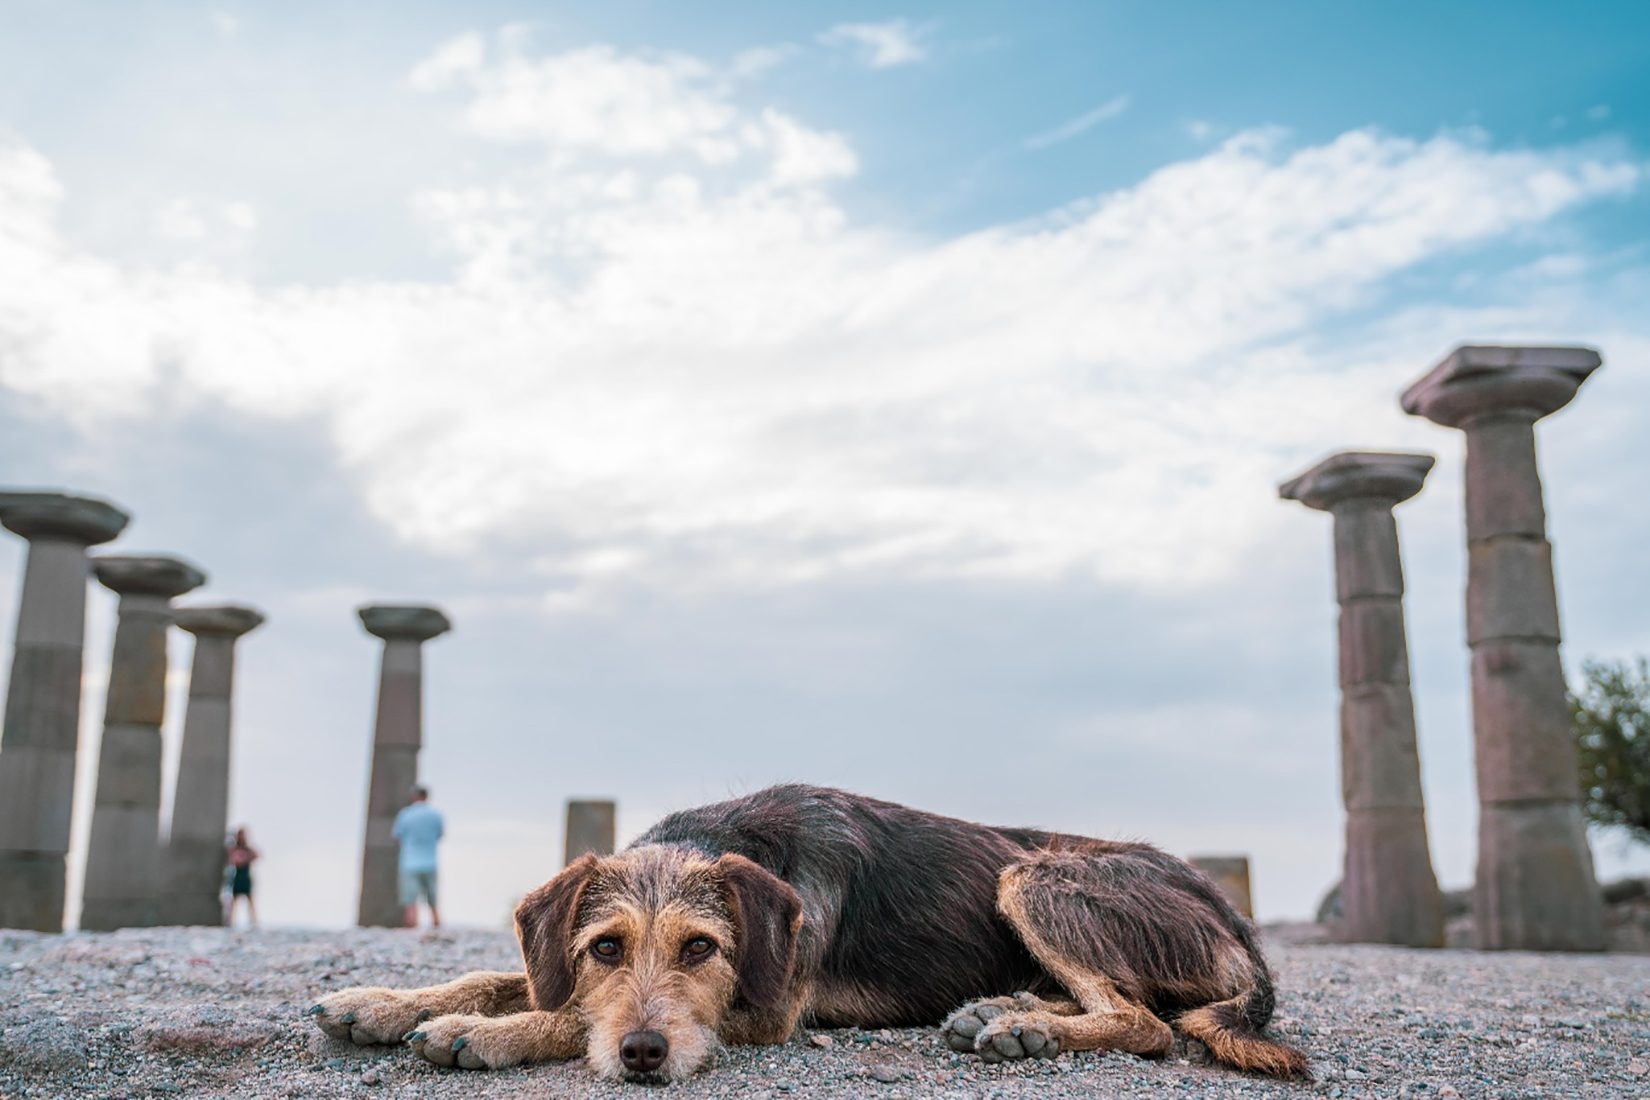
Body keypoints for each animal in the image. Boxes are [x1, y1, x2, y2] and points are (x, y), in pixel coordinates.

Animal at [310, 781, 1306, 1081]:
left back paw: (1026, 1026)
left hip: (1035, 874)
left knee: (1145, 1021)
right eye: (605, 948)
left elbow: (560, 1012)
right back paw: (1007, 1007)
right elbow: (504, 976)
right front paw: (381, 1001)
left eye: (703, 948)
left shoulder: (765, 1007)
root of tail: (1234, 915)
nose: (643, 1056)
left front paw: (485, 1032)